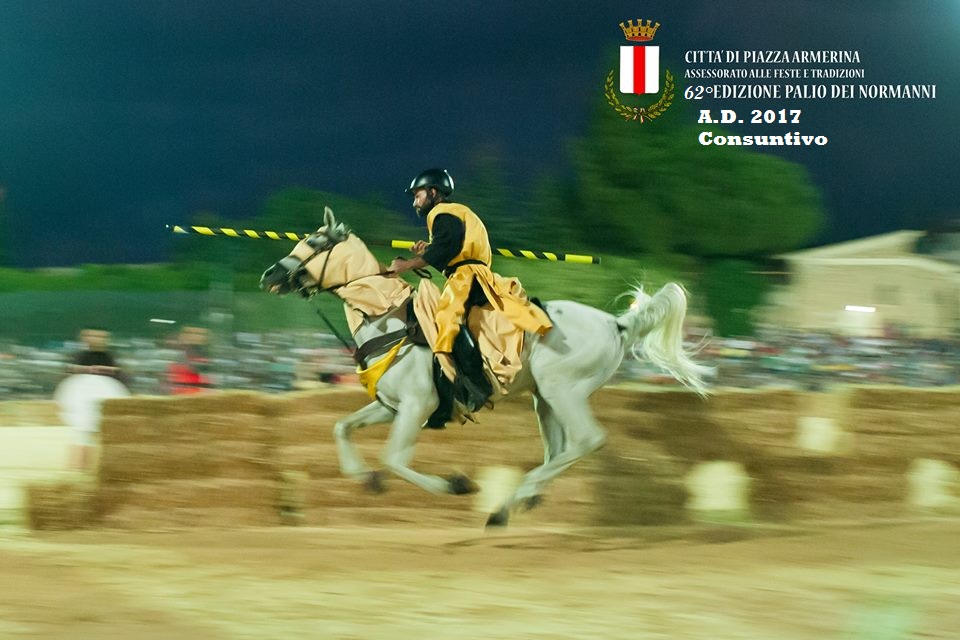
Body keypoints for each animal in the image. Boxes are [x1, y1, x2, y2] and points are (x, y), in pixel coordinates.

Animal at [258, 209, 708, 524]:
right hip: (546, 399)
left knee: (587, 440)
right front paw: (364, 477)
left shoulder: (417, 406)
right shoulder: (390, 406)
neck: (388, 318)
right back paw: (519, 500)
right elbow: (342, 428)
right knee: (559, 449)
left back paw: (510, 503)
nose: (270, 275)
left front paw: (454, 485)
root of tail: (616, 324)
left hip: (562, 389)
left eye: (315, 241)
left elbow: (395, 459)